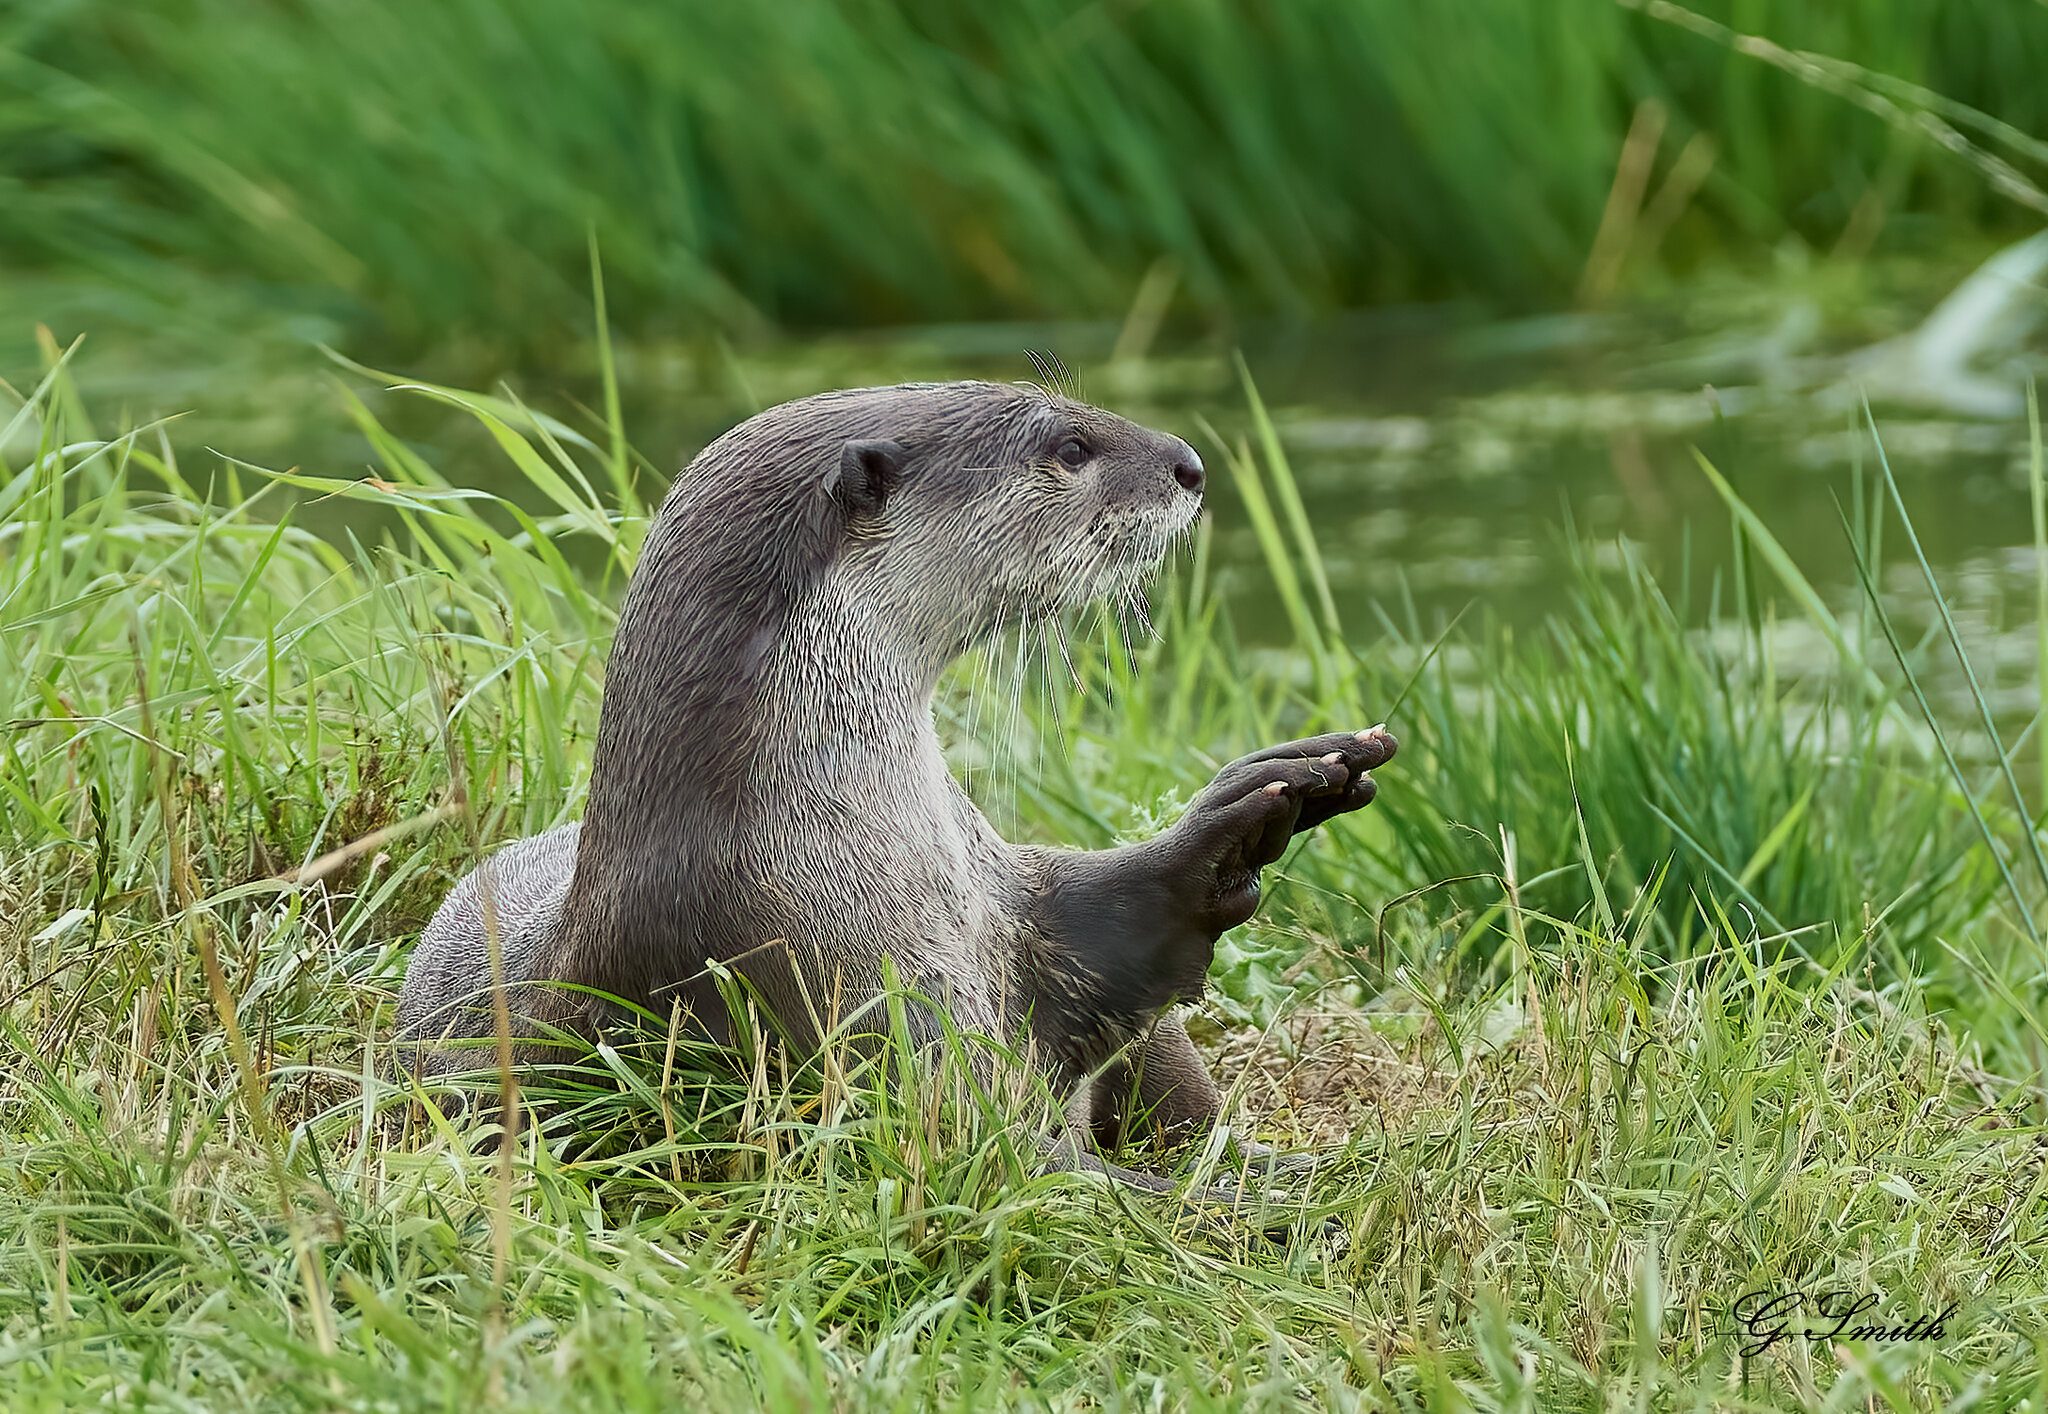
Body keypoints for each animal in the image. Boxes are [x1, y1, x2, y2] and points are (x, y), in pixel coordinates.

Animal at [393, 383, 1400, 1188]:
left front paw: (1257, 803)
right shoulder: (835, 992)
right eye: (1071, 446)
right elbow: (1001, 1158)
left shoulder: (1005, 894)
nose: (1191, 466)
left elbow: (1099, 933)